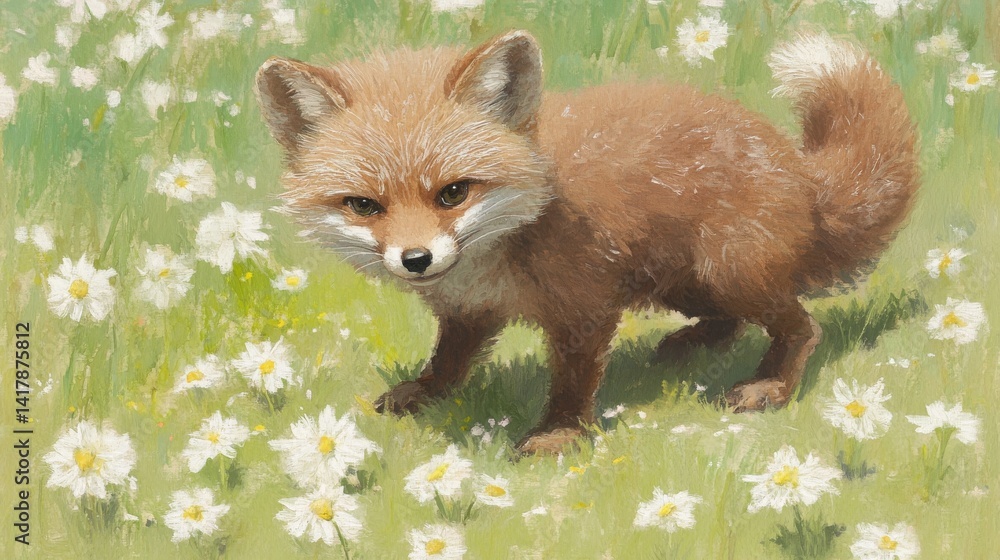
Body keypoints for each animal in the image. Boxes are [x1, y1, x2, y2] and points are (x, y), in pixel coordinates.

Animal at [254, 30, 918, 454]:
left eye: (453, 193)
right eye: (365, 205)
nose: (416, 260)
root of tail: (796, 171)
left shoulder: (586, 308)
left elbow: (572, 381)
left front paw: (560, 435)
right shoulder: (467, 311)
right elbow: (449, 361)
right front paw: (424, 393)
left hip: (729, 271)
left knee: (802, 326)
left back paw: (770, 385)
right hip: (682, 285)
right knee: (731, 321)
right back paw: (692, 344)